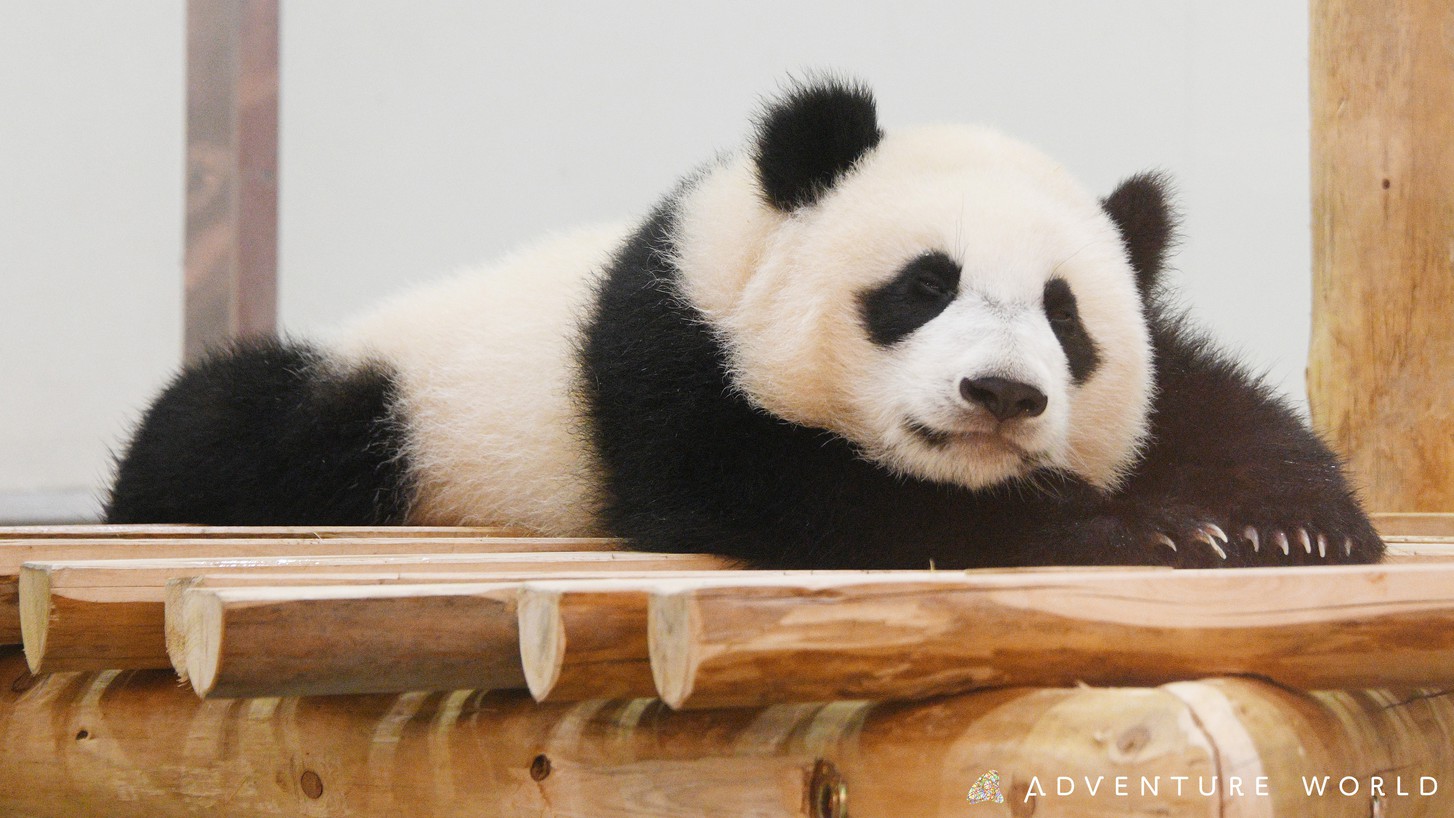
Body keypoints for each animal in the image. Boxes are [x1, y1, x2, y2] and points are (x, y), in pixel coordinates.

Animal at [105, 81, 1384, 569]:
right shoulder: (667, 346)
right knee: (227, 425)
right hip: (386, 396)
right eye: (921, 286)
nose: (999, 395)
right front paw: (1142, 528)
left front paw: (1279, 521)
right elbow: (799, 490)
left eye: (1065, 321)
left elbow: (1204, 393)